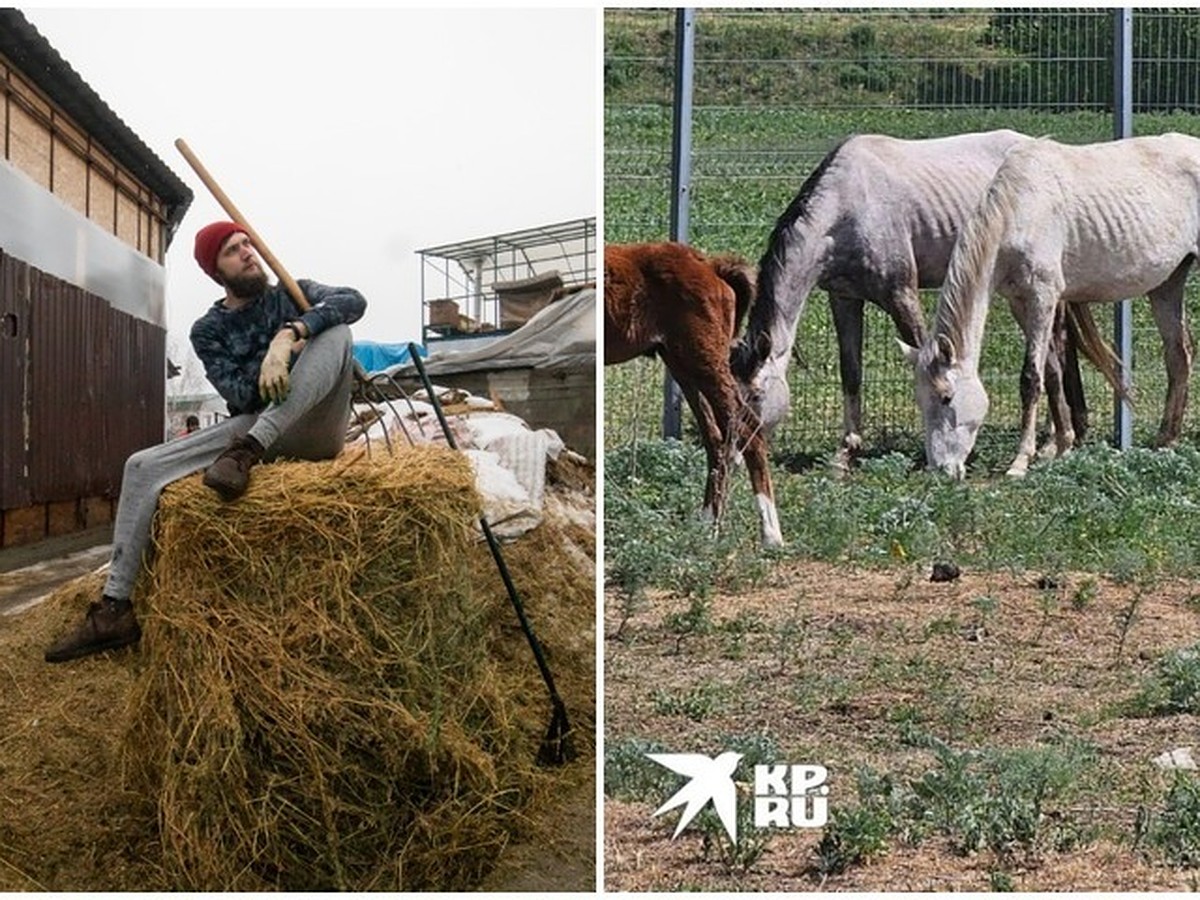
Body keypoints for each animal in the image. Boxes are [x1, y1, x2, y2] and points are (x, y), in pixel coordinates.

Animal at [604, 240, 782, 547]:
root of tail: (710, 266)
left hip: (704, 359)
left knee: (747, 428)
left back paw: (770, 535)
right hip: (682, 363)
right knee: (717, 437)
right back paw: (706, 525)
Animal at [729, 129, 1113, 460]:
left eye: (757, 394)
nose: (738, 452)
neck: (848, 207)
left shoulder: (900, 294)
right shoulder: (844, 298)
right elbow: (850, 371)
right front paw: (847, 451)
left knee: (1056, 347)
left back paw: (1054, 440)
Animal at [902, 133, 1195, 480]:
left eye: (947, 397)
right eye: (920, 400)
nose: (941, 470)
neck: (1020, 208)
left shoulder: (1043, 296)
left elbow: (1031, 377)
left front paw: (1020, 461)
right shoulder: (1019, 301)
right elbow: (1053, 370)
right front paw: (1062, 445)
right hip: (1168, 284)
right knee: (1178, 355)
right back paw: (1166, 440)